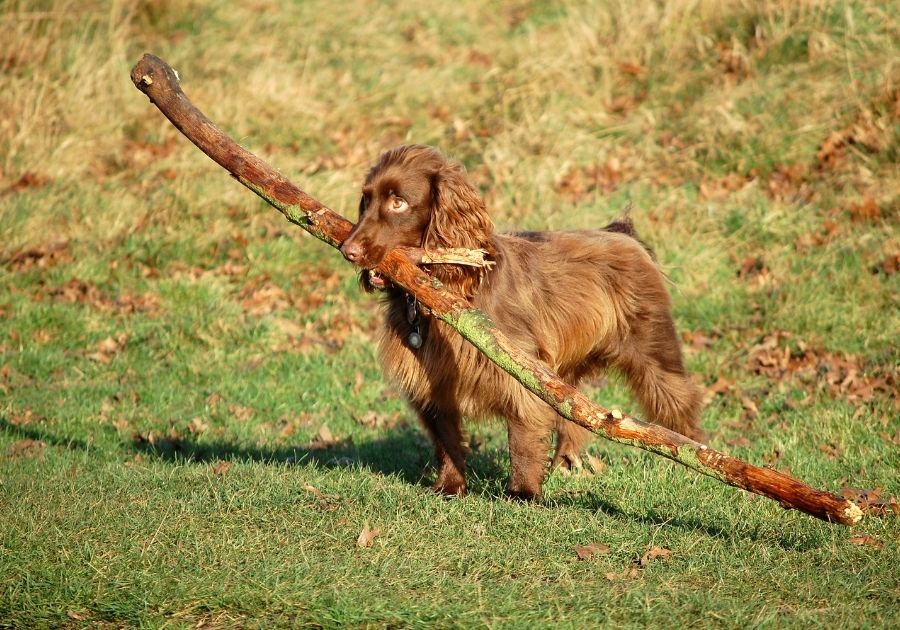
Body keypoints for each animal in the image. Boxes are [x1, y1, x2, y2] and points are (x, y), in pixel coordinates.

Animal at [342, 146, 700, 502]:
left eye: (398, 202)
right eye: (365, 200)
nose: (348, 250)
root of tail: (622, 232)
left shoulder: (519, 368)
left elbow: (523, 433)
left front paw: (523, 493)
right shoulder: (433, 382)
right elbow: (446, 438)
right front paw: (450, 487)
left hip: (652, 349)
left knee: (680, 405)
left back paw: (689, 464)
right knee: (574, 417)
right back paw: (565, 466)